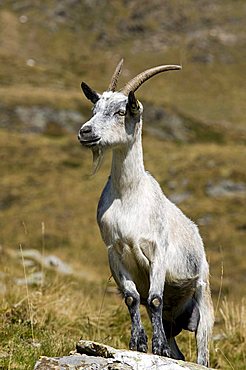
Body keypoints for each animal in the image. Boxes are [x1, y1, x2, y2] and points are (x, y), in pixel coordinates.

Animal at [78, 59, 214, 366]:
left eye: (121, 111)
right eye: (94, 109)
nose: (85, 132)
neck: (129, 197)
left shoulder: (157, 251)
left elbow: (153, 299)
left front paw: (157, 347)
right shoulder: (114, 252)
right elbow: (131, 298)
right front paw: (139, 344)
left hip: (203, 293)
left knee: (201, 350)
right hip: (175, 317)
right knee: (179, 348)